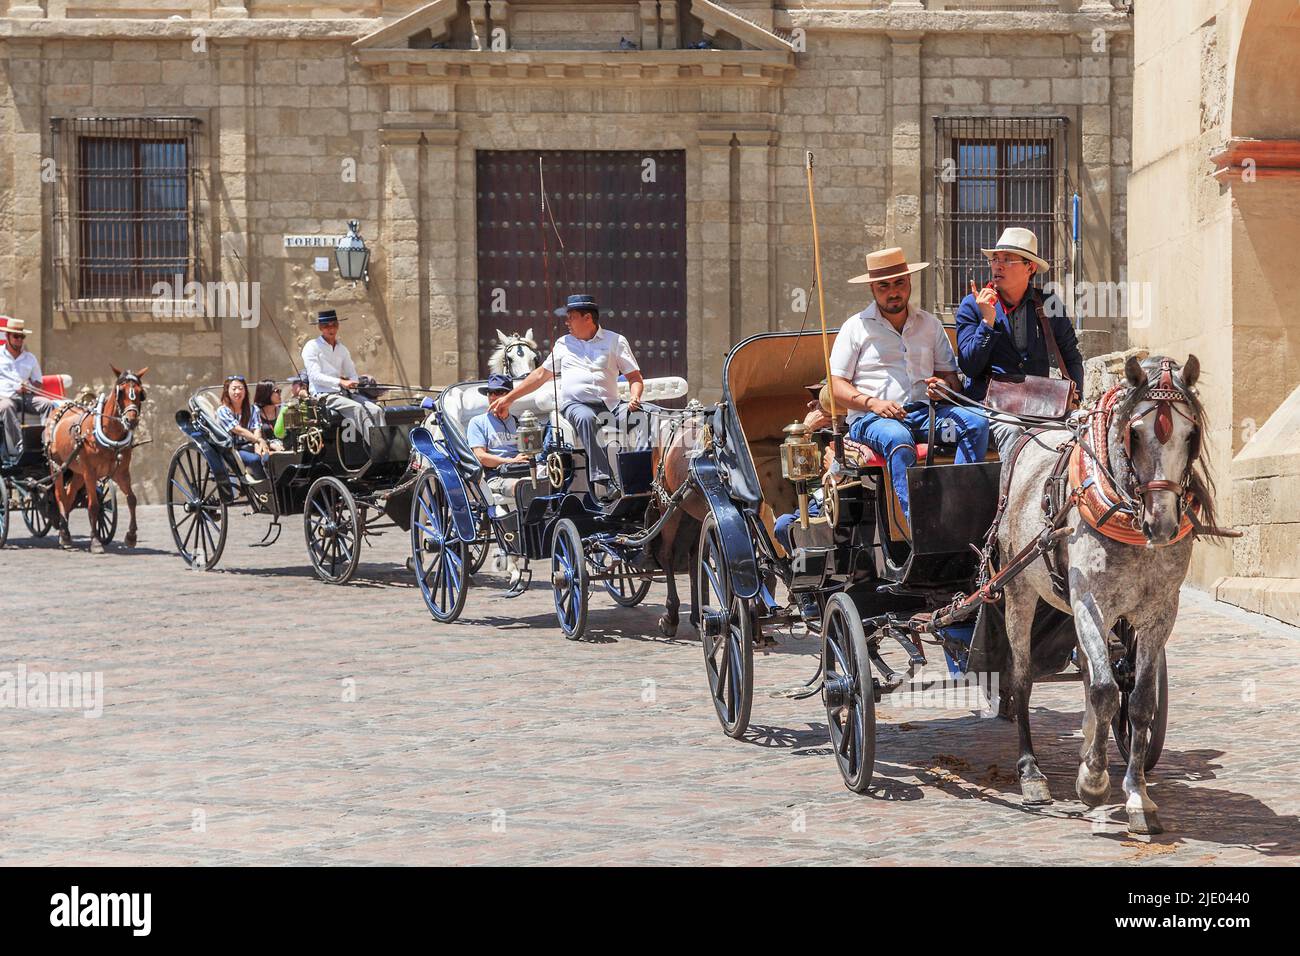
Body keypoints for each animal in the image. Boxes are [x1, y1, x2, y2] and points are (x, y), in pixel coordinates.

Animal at [45, 369, 148, 554]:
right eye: (120, 392)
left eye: (140, 393)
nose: (131, 420)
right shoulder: (91, 473)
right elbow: (93, 505)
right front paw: (95, 541)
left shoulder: (122, 473)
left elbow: (132, 499)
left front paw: (131, 536)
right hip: (57, 466)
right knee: (60, 495)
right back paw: (65, 534)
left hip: (78, 472)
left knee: (69, 495)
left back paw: (65, 533)